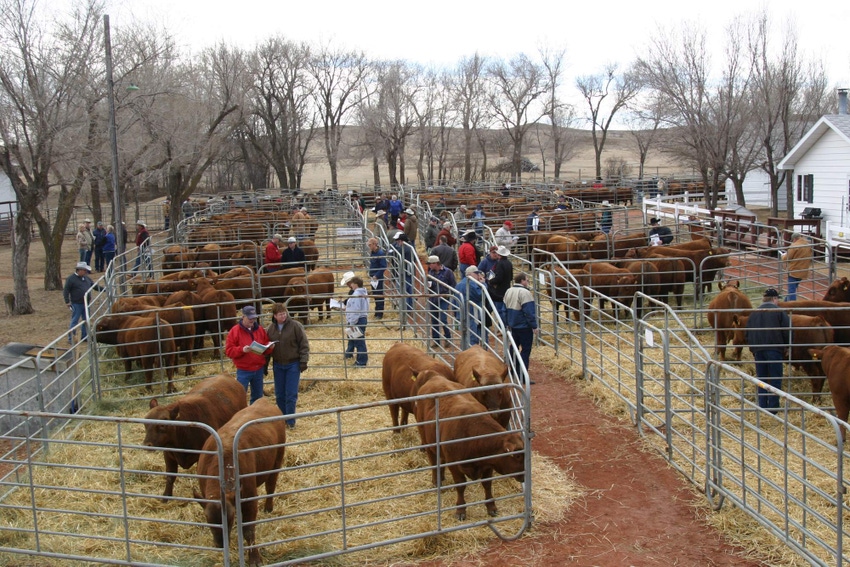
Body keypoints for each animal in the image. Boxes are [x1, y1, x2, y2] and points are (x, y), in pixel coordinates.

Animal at [192, 398, 284, 567]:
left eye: (230, 518)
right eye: (208, 519)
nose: (220, 544)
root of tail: (263, 401)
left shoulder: (249, 498)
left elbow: (248, 530)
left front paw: (254, 558)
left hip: (277, 461)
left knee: (270, 486)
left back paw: (268, 507)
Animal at [412, 374, 524, 520]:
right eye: (517, 455)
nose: (524, 476)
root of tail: (435, 378)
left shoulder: (488, 464)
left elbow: (487, 484)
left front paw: (491, 507)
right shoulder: (454, 465)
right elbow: (460, 486)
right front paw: (460, 509)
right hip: (426, 438)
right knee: (433, 459)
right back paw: (436, 480)